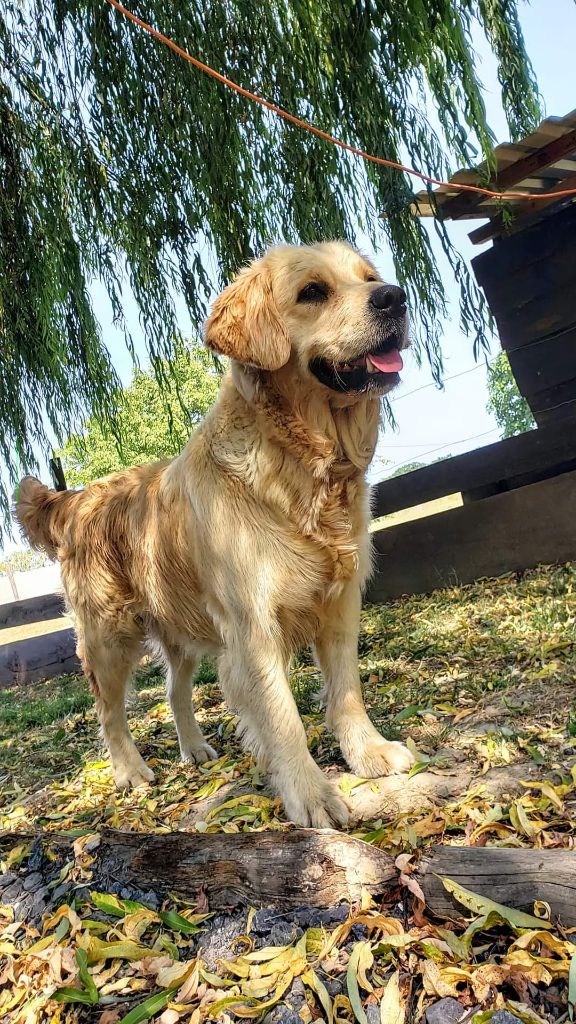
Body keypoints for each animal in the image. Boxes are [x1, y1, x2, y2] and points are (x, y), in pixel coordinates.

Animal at [14, 241, 412, 831]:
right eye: (313, 291)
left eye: (369, 277)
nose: (395, 297)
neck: (303, 467)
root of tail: (77, 496)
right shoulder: (253, 629)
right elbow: (283, 716)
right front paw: (310, 792)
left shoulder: (339, 604)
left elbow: (346, 691)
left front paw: (368, 752)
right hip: (109, 637)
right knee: (107, 710)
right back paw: (130, 770)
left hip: (179, 629)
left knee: (174, 690)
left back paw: (194, 748)